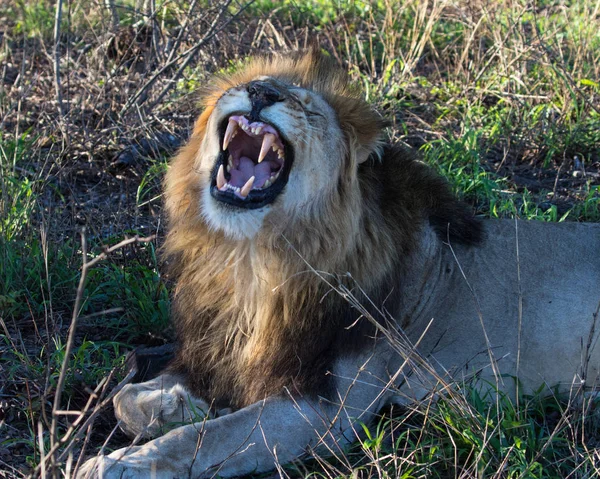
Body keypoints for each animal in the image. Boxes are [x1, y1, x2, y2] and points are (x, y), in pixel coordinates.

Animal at [79, 50, 600, 478]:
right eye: (246, 86)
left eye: (308, 108)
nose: (261, 91)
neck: (252, 258)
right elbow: (123, 397)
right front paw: (176, 404)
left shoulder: (325, 408)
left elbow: (208, 439)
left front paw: (121, 463)